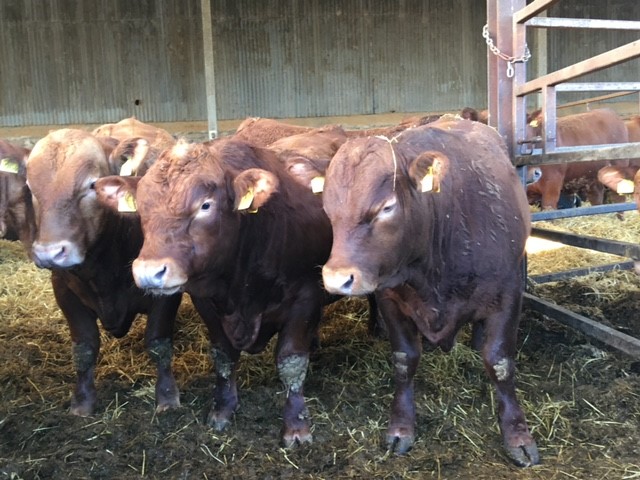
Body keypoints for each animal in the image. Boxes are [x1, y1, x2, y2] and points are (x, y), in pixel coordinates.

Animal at [95, 138, 336, 446]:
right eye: (142, 207)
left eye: (206, 205)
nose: (149, 271)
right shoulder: (206, 300)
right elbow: (223, 356)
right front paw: (222, 410)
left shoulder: (305, 296)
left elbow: (291, 361)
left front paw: (296, 426)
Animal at [320, 118, 540, 466]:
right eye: (327, 209)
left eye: (387, 207)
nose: (336, 278)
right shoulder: (390, 298)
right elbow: (404, 360)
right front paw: (401, 428)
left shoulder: (509, 293)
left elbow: (500, 363)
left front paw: (518, 435)